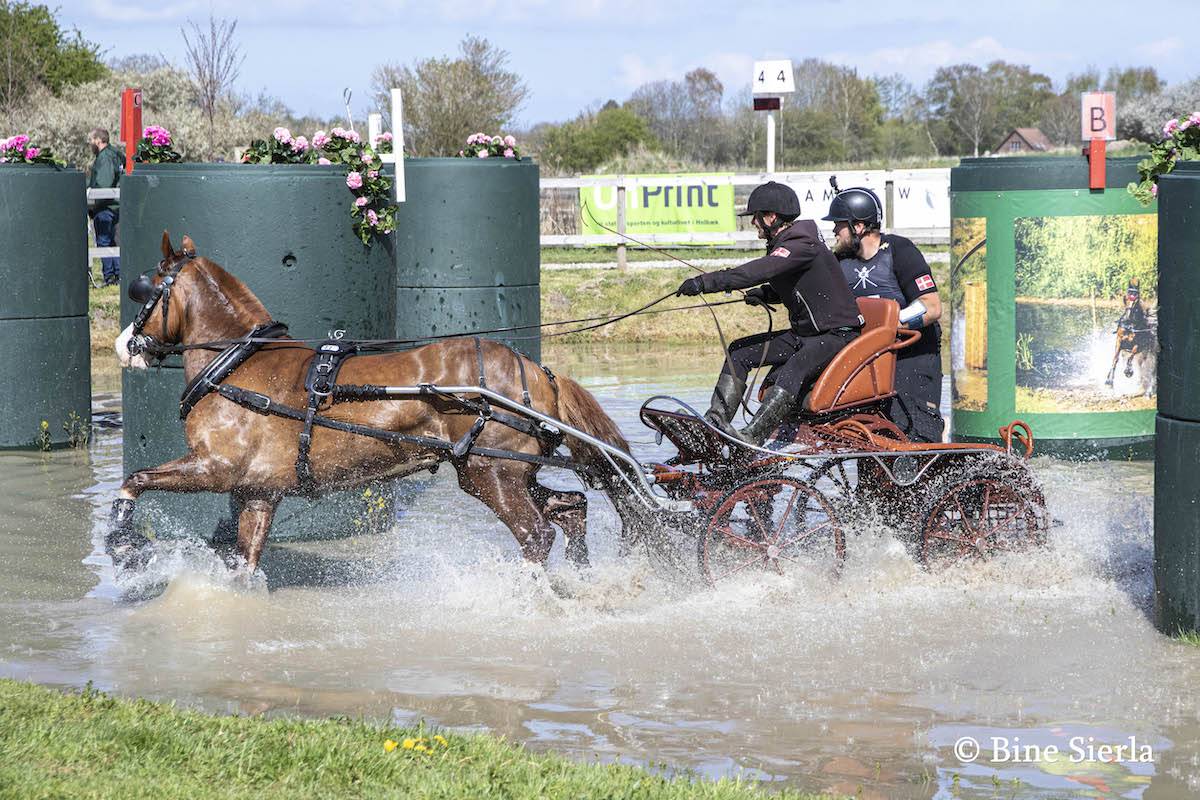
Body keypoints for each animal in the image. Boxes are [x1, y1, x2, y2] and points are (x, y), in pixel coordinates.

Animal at [110, 232, 639, 575]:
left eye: (144, 290)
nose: (124, 345)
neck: (237, 364)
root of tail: (537, 371)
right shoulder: (256, 494)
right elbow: (245, 564)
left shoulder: (215, 468)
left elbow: (135, 479)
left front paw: (121, 542)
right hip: (507, 474)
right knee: (571, 509)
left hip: (491, 475)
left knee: (537, 535)